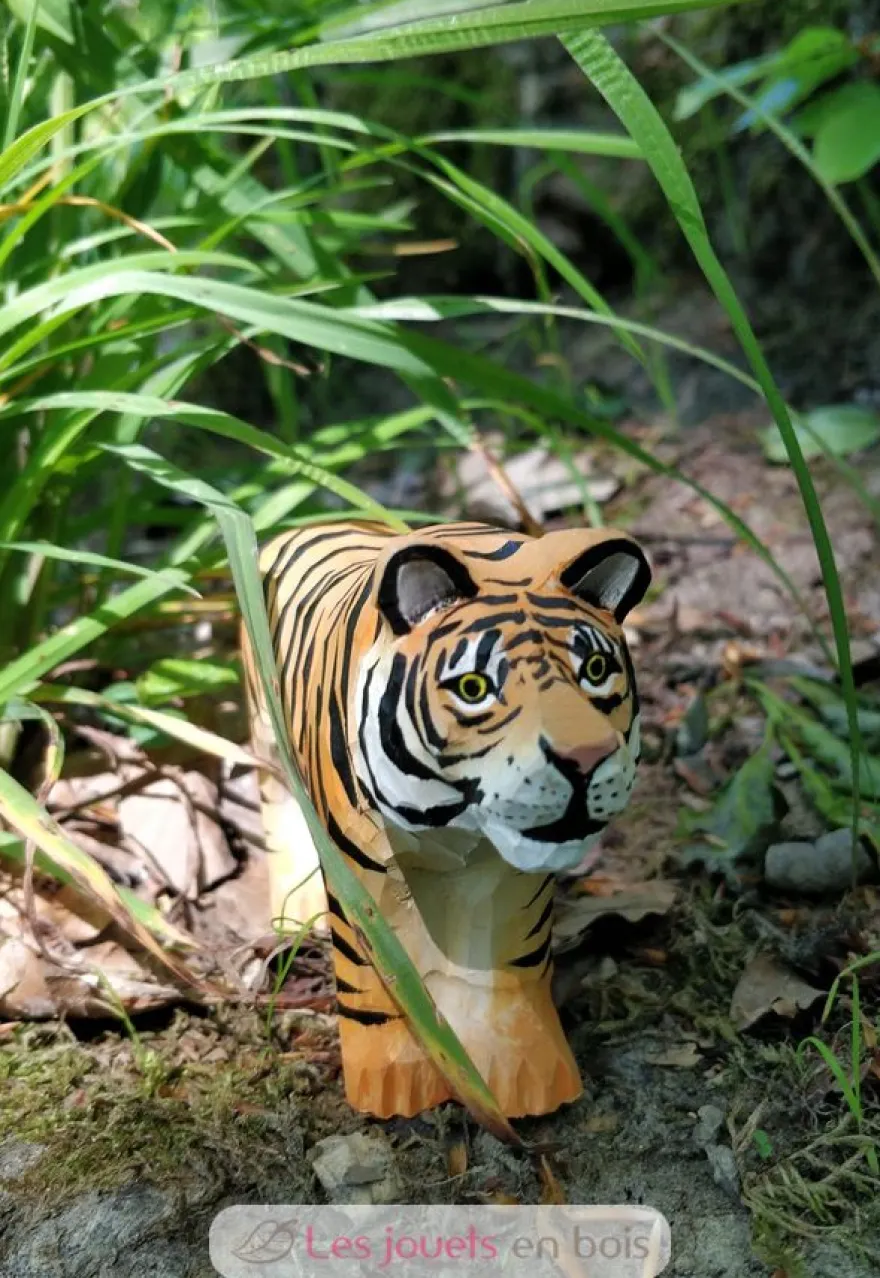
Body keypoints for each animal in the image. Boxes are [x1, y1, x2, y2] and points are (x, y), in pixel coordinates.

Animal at [242, 519, 651, 1119]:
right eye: (475, 688)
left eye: (596, 672)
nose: (584, 759)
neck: (455, 819)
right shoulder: (365, 867)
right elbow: (377, 981)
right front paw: (392, 1085)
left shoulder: (509, 878)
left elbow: (505, 973)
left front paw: (524, 1078)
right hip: (266, 742)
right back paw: (296, 920)